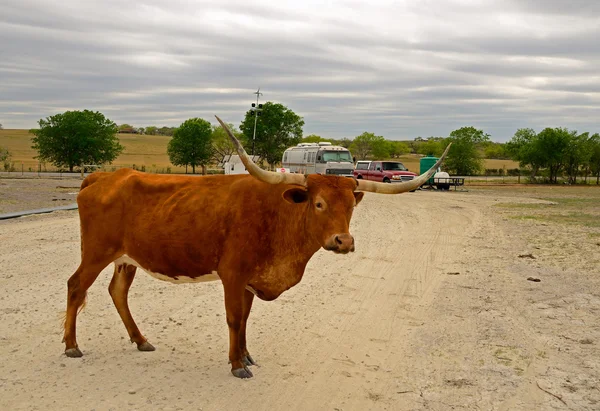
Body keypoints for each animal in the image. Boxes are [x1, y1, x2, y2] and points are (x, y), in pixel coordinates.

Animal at [64, 116, 450, 380]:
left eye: (350, 207)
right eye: (319, 204)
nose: (344, 241)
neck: (278, 216)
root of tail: (104, 176)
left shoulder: (251, 279)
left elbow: (246, 319)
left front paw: (246, 355)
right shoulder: (233, 275)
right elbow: (235, 318)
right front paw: (237, 364)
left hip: (125, 258)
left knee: (118, 291)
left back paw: (141, 339)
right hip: (96, 252)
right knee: (76, 285)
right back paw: (71, 345)